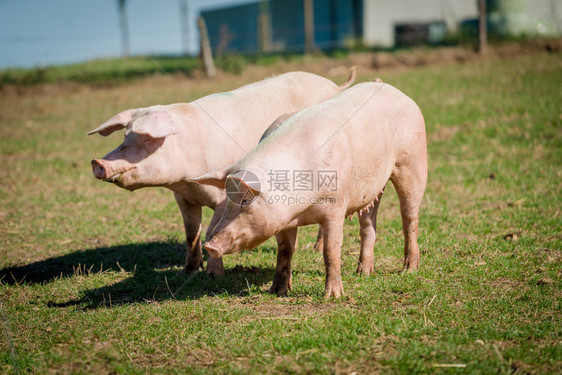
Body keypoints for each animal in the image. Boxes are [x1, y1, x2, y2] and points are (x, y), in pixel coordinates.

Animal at [88, 70, 354, 276]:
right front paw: (189, 270)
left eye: (146, 138)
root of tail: (334, 85)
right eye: (125, 136)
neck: (186, 178)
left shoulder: (222, 198)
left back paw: (316, 249)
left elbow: (209, 230)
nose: (97, 162)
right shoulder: (182, 197)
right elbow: (190, 233)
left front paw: (214, 274)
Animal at [190, 81, 426, 298]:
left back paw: (409, 270)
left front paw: (333, 296)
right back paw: (363, 273)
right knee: (368, 224)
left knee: (409, 217)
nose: (210, 245)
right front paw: (276, 291)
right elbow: (285, 250)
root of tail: (390, 88)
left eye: (246, 200)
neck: (301, 210)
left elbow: (331, 250)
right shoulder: (283, 219)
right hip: (372, 187)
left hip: (412, 162)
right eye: (228, 197)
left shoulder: (335, 207)